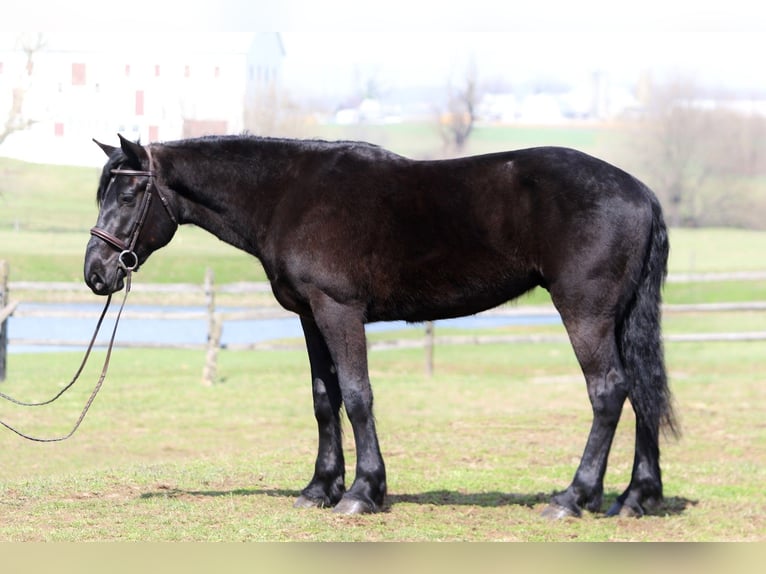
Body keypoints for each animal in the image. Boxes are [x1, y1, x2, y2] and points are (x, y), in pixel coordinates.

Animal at [84, 134, 676, 518]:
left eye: (129, 194)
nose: (96, 272)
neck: (289, 195)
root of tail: (642, 192)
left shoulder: (339, 309)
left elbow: (356, 395)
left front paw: (361, 493)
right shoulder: (310, 316)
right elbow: (325, 400)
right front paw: (319, 488)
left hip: (585, 313)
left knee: (609, 391)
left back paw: (574, 498)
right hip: (621, 318)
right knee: (642, 390)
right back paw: (636, 498)